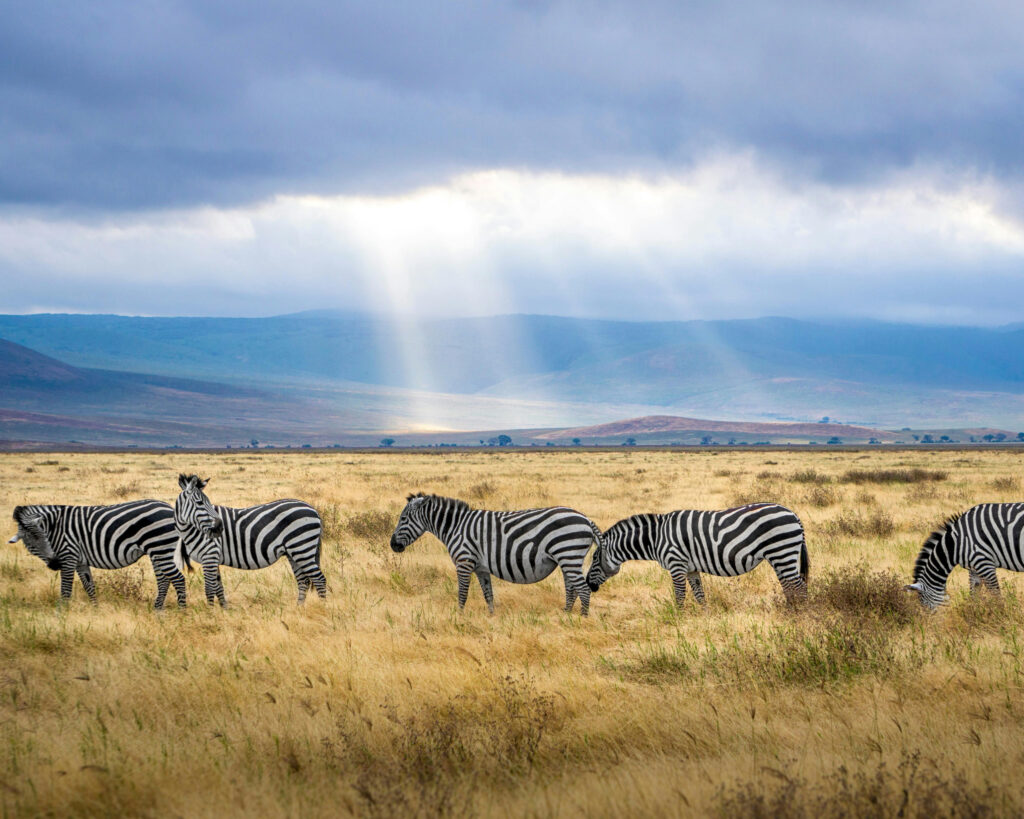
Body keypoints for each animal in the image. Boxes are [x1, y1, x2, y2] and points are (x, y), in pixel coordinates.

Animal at [8, 500, 187, 608]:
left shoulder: (68, 556)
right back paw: (158, 610)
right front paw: (95, 609)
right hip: (158, 552)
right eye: (31, 543)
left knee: (178, 579)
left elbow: (66, 590)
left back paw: (181, 612)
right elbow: (89, 586)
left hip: (161, 549)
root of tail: (170, 508)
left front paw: (61, 614)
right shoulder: (80, 561)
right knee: (164, 581)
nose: (54, 564)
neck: (55, 527)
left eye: (45, 537)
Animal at [174, 474, 326, 606]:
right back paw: (299, 608)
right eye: (200, 502)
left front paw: (210, 612)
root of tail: (313, 509)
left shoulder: (210, 555)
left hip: (302, 548)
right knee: (303, 581)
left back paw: (323, 607)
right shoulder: (213, 558)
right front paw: (224, 610)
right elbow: (219, 588)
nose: (219, 528)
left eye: (208, 502)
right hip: (293, 552)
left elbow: (209, 588)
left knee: (319, 579)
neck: (192, 530)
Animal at [389, 493, 603, 614]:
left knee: (583, 589)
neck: (455, 526)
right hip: (567, 558)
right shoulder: (481, 568)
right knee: (571, 588)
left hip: (568, 554)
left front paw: (459, 617)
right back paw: (565, 615)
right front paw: (491, 617)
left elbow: (462, 593)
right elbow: (488, 594)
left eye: (403, 518)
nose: (392, 545)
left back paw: (581, 620)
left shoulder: (464, 561)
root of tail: (585, 519)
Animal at [586, 503, 809, 608]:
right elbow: (700, 595)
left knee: (798, 586)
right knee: (790, 586)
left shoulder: (676, 564)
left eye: (594, 559)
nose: (589, 584)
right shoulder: (691, 568)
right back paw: (790, 611)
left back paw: (799, 615)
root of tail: (794, 514)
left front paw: (678, 620)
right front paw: (704, 618)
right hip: (781, 556)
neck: (656, 538)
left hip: (781, 551)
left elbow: (679, 595)